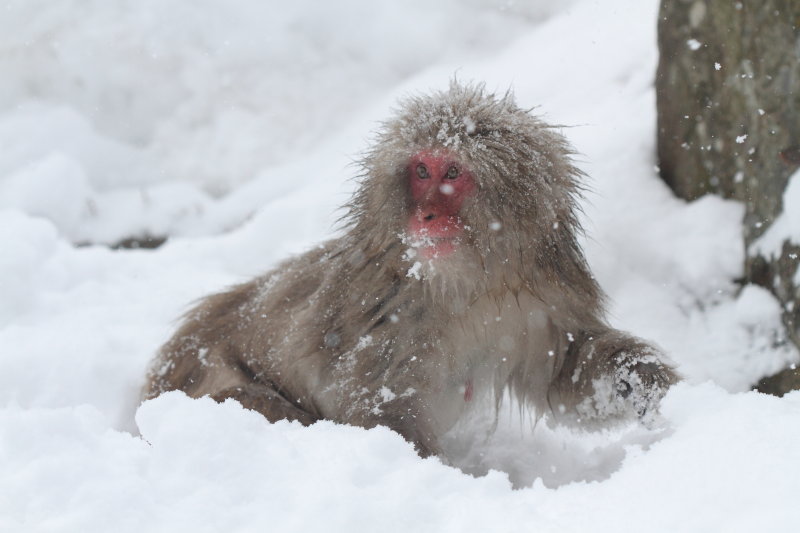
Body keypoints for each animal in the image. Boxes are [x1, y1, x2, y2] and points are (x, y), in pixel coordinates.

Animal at [142, 81, 676, 456]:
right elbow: (381, 415)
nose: (425, 216)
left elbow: (565, 373)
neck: (469, 284)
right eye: (421, 172)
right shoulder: (390, 315)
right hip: (199, 376)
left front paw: (642, 384)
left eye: (452, 173)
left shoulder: (536, 302)